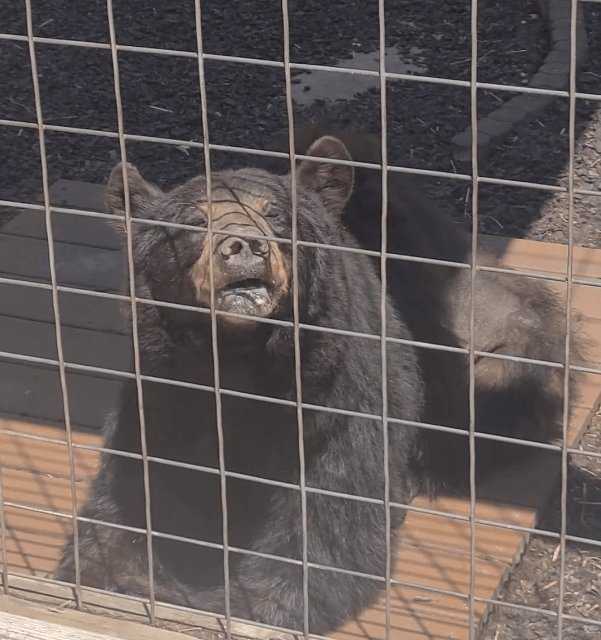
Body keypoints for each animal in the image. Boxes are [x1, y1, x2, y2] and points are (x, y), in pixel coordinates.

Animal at [52, 135, 426, 636]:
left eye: (275, 214)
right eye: (195, 222)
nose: (245, 245)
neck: (238, 360)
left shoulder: (337, 402)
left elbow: (328, 515)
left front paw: (254, 603)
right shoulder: (165, 398)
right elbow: (133, 499)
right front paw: (110, 573)